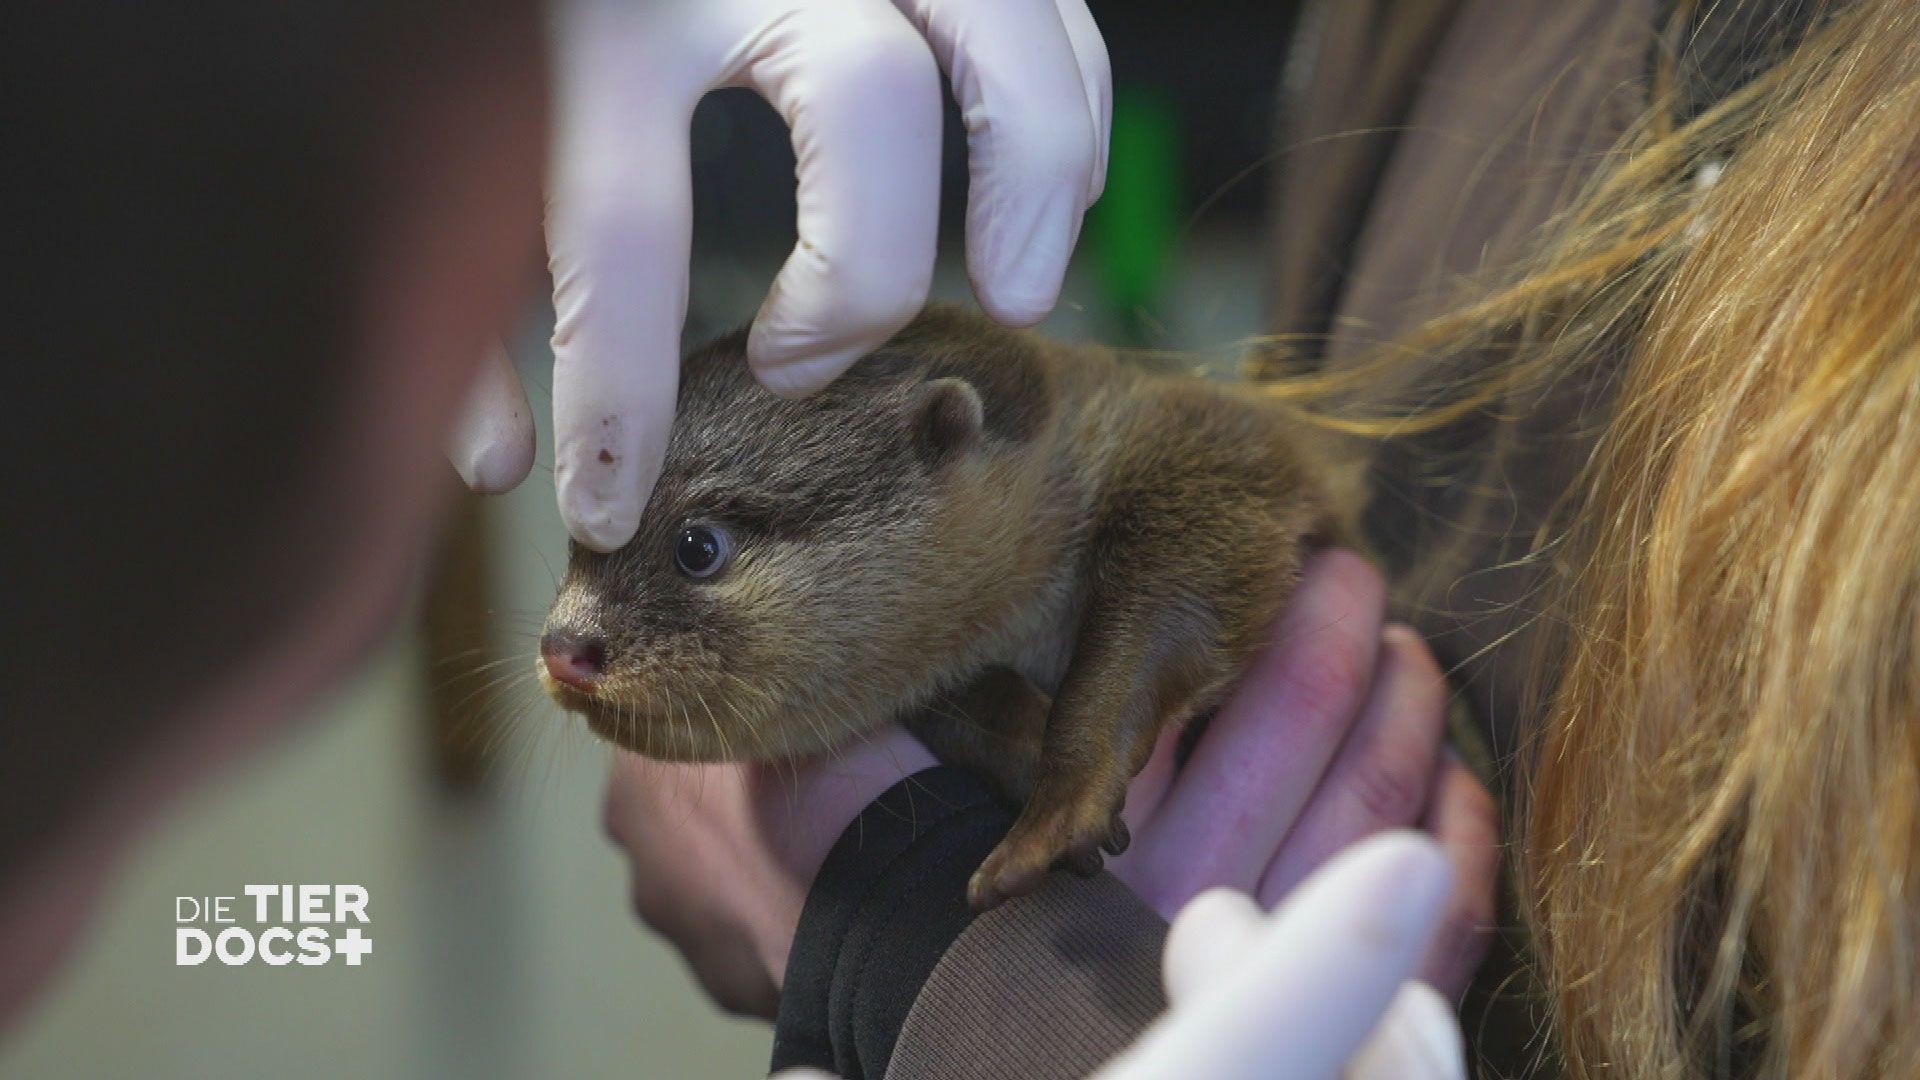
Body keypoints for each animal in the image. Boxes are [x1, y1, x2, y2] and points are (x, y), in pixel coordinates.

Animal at [539, 304, 1345, 908]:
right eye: (578, 538)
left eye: (697, 546)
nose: (564, 646)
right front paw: (1025, 745)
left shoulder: (1213, 451)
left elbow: (1183, 576)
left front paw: (1062, 801)